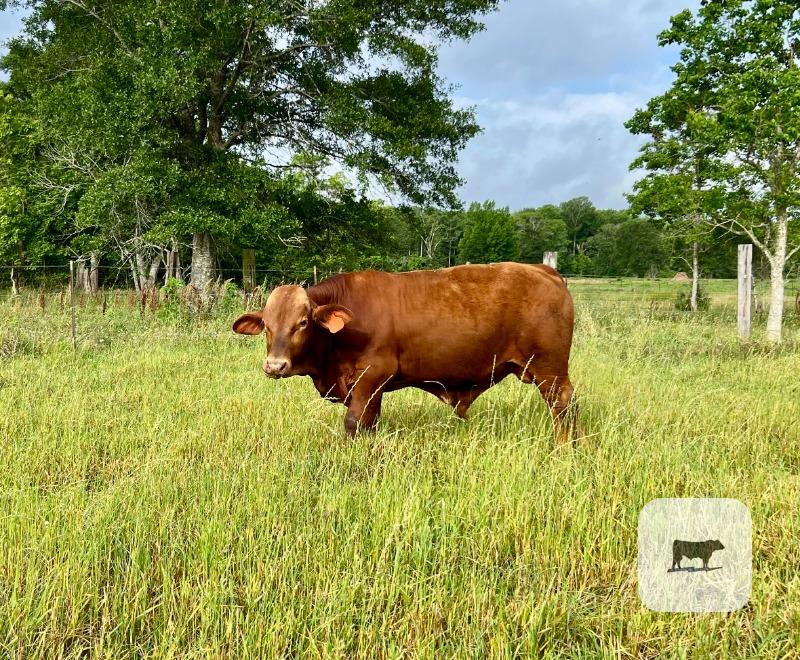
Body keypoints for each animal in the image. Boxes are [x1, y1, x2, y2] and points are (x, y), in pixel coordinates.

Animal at [233, 263, 578, 443]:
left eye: (302, 322)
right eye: (266, 325)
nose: (274, 366)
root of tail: (543, 270)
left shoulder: (373, 374)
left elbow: (353, 422)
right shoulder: (370, 388)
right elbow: (369, 420)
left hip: (549, 369)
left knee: (563, 405)